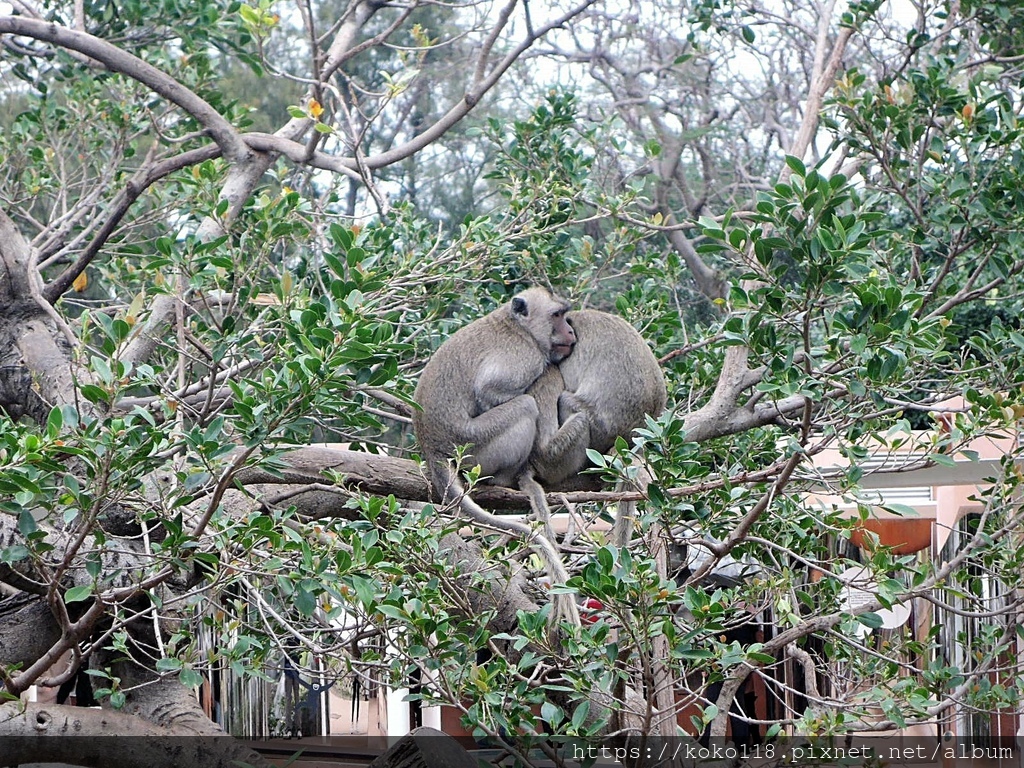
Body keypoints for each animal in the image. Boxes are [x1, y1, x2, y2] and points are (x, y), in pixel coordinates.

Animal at [411, 286, 581, 626]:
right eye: (557, 315)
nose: (570, 332)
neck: (520, 329)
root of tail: (431, 447)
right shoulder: (525, 358)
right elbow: (491, 391)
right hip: (477, 450)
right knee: (525, 406)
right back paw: (507, 478)